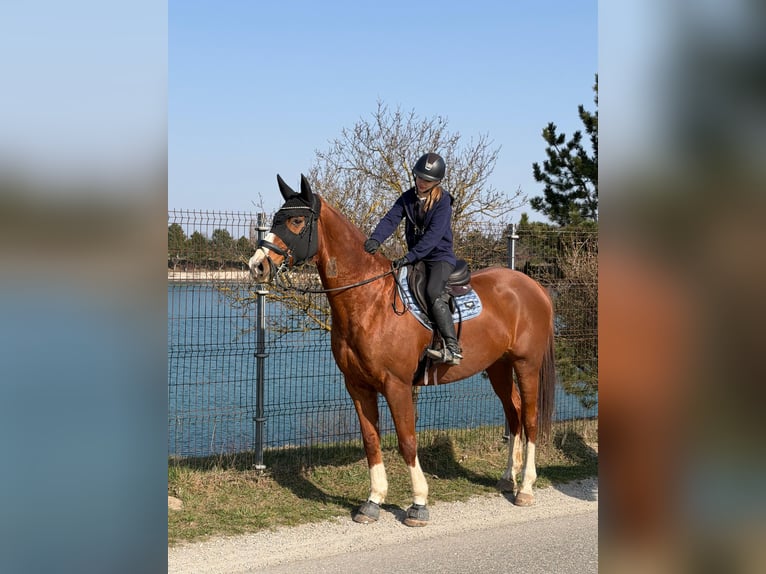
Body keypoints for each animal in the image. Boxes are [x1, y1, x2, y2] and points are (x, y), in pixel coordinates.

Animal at [248, 174, 556, 527]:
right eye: (275, 219)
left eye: (297, 221)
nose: (257, 265)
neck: (370, 300)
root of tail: (533, 286)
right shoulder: (357, 386)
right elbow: (371, 441)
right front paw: (373, 501)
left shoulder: (396, 386)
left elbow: (408, 442)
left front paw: (418, 504)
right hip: (498, 368)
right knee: (514, 413)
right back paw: (508, 478)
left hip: (526, 365)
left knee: (530, 419)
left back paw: (526, 488)